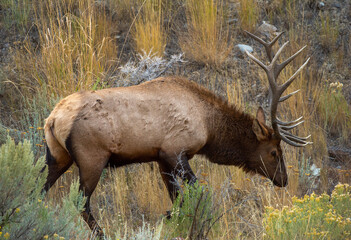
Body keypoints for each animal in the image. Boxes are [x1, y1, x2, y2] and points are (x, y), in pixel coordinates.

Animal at [43, 31, 310, 234]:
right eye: (274, 152)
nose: (284, 180)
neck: (209, 127)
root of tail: (53, 118)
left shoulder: (160, 157)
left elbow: (178, 198)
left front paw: (172, 219)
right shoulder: (174, 151)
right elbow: (195, 193)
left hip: (57, 156)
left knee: (41, 189)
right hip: (92, 159)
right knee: (81, 203)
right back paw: (102, 234)